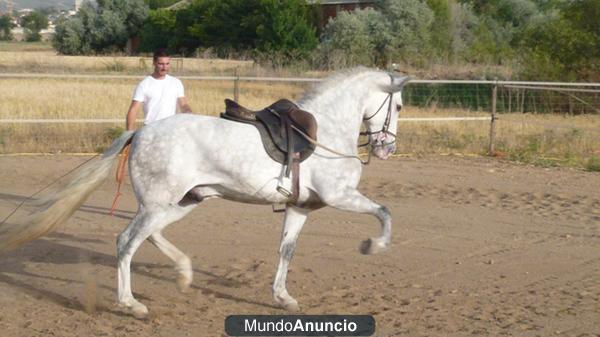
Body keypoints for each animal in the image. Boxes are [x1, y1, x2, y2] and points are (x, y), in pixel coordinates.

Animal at [0, 67, 408, 316]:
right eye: (400, 106)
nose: (387, 148)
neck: (324, 132)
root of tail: (140, 133)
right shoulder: (340, 196)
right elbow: (385, 212)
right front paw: (373, 246)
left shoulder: (300, 208)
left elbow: (286, 251)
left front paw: (283, 298)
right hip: (160, 204)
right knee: (126, 242)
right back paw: (131, 304)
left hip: (180, 201)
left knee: (150, 237)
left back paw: (183, 273)